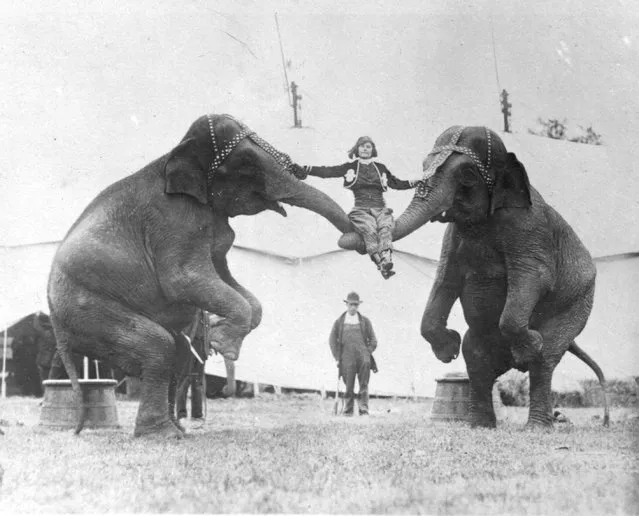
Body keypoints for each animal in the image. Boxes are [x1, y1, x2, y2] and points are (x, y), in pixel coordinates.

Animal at [47, 114, 352, 440]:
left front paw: (221, 334)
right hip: (87, 308)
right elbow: (183, 280)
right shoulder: (173, 221)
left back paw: (177, 429)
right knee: (158, 347)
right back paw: (162, 435)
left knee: (177, 353)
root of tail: (56, 324)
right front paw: (223, 344)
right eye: (246, 162)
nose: (351, 237)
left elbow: (225, 277)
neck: (177, 152)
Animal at [342, 125, 612, 428]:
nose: (385, 264)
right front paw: (448, 348)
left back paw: (536, 422)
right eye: (423, 166)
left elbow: (534, 277)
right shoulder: (453, 236)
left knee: (545, 360)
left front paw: (530, 346)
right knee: (476, 357)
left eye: (468, 175)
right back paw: (481, 424)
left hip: (577, 306)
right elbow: (445, 278)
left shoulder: (528, 227)